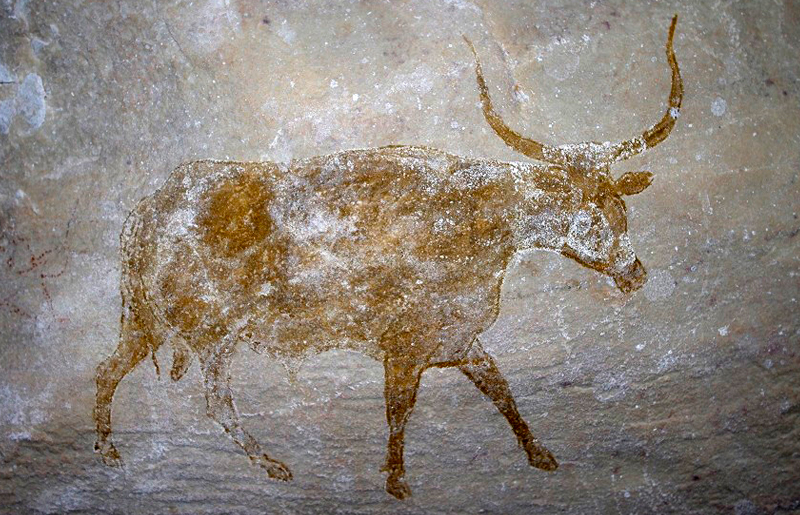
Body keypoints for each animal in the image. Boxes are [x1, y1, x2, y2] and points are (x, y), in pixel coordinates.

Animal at [94, 16, 682, 499]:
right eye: (598, 215)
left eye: (621, 208)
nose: (636, 274)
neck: (477, 224)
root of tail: (145, 211)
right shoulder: (403, 347)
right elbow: (399, 411)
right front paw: (397, 481)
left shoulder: (459, 339)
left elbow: (502, 390)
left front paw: (540, 453)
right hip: (211, 333)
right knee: (216, 402)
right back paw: (272, 464)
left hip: (144, 321)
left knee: (106, 369)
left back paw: (108, 451)